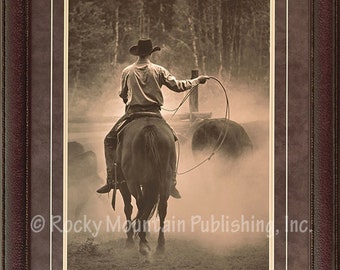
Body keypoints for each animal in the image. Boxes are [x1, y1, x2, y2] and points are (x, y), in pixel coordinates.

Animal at [115, 116, 177, 255]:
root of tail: (149, 129)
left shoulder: (124, 184)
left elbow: (128, 207)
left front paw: (130, 238)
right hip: (164, 179)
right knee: (161, 207)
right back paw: (159, 245)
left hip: (133, 181)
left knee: (140, 203)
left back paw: (142, 241)